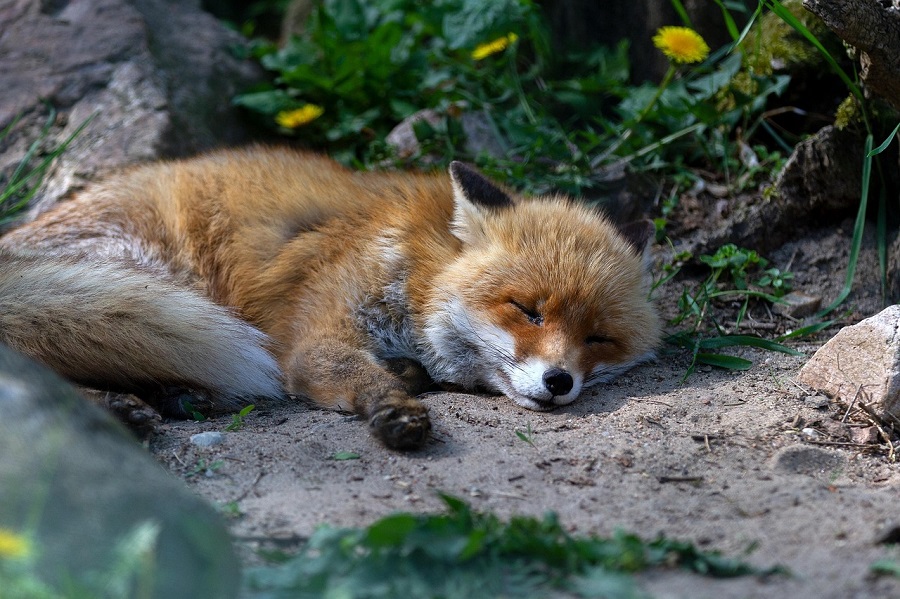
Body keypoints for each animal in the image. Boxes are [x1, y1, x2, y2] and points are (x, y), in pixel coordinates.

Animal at [0, 148, 660, 449]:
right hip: (150, 278)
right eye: (527, 310)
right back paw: (117, 408)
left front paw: (406, 379)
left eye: (599, 338)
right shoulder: (317, 336)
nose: (559, 382)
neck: (415, 264)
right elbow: (353, 375)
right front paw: (393, 408)